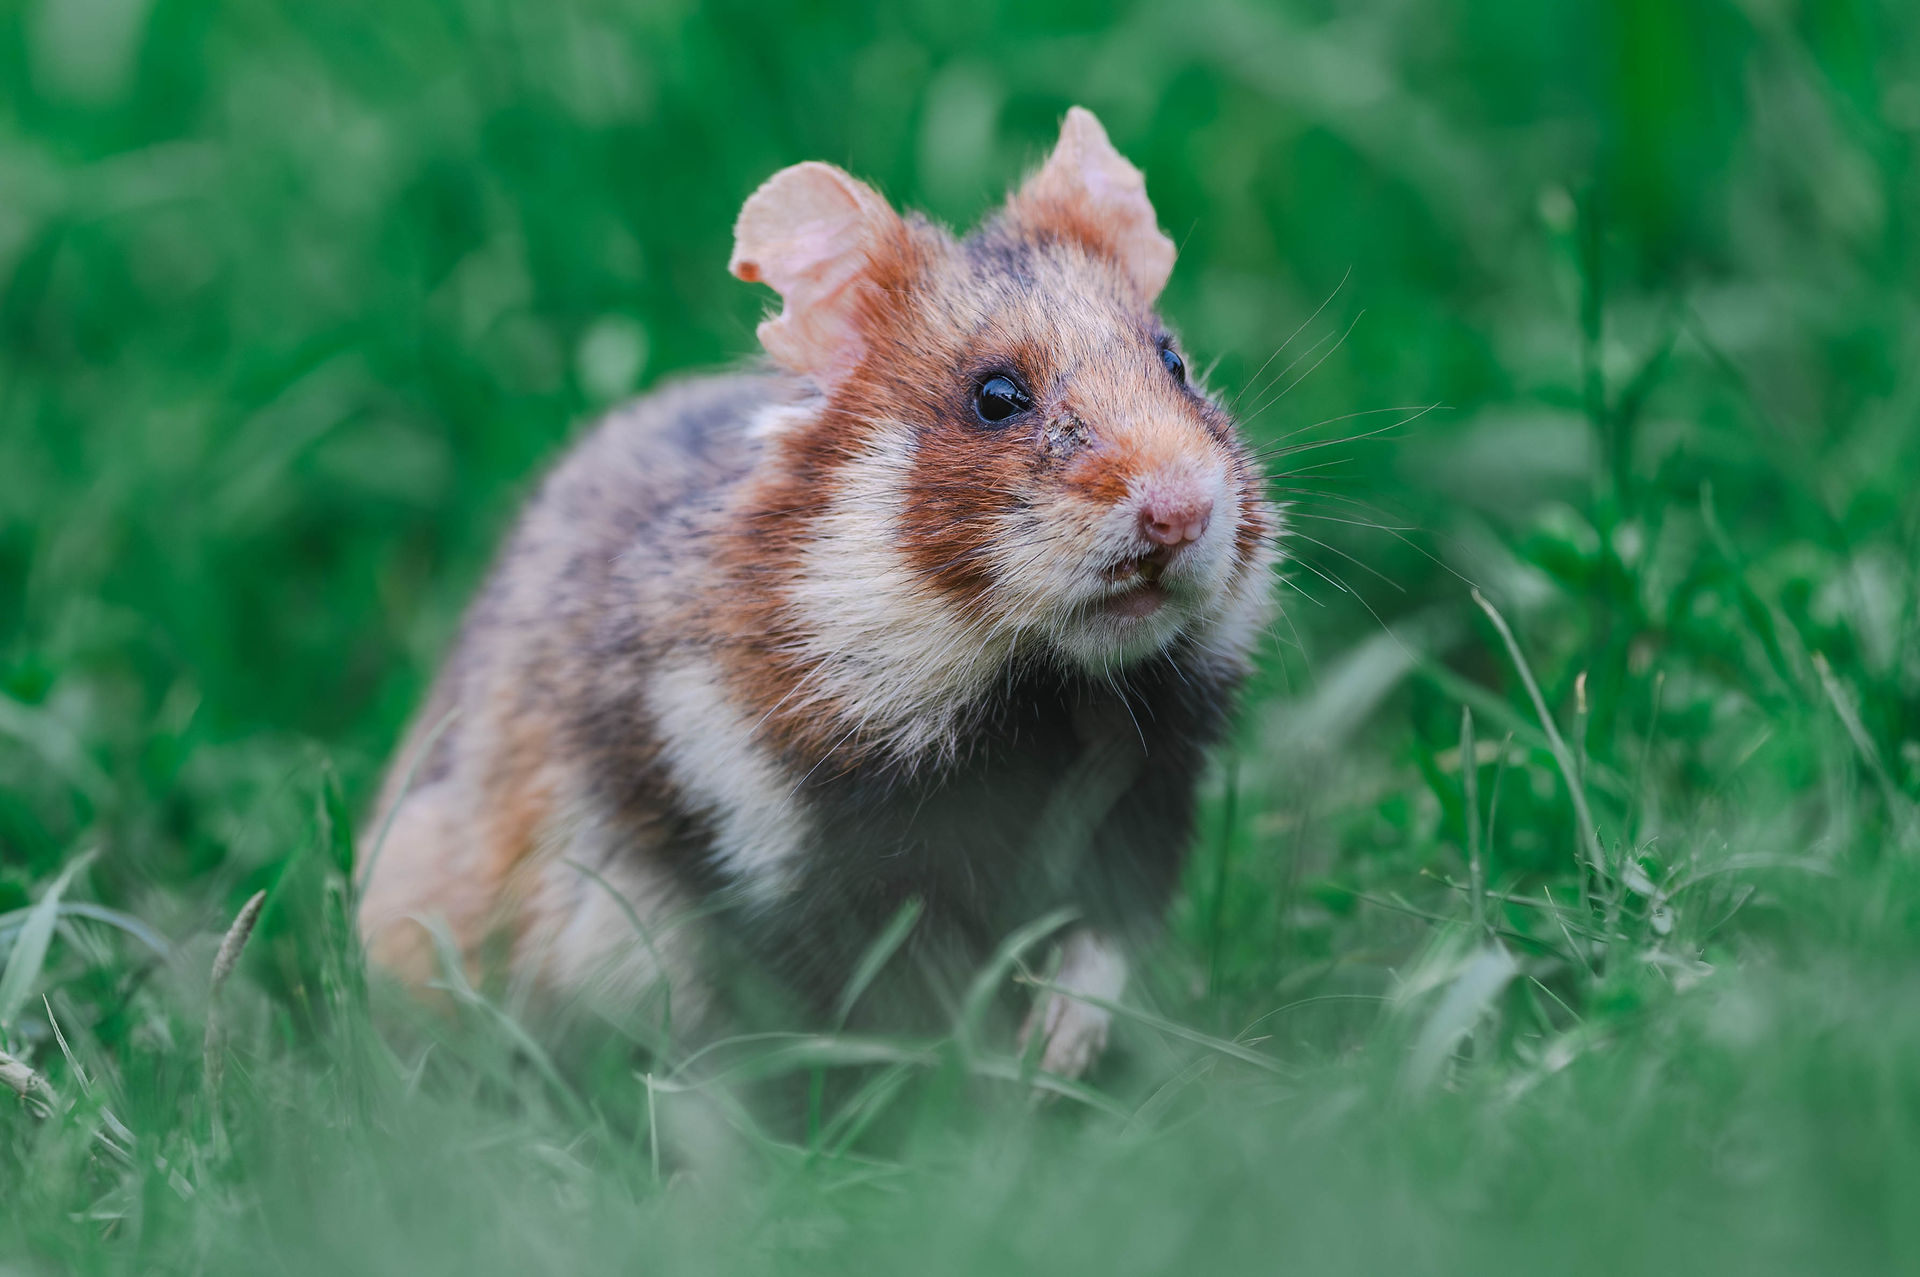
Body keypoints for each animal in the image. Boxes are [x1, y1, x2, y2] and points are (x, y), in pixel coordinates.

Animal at [358, 107, 1279, 1079]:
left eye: (1175, 363)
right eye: (996, 397)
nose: (1181, 511)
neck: (1033, 688)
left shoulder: (1146, 804)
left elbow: (1097, 944)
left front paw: (1055, 1051)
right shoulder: (802, 861)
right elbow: (909, 1002)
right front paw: (989, 1078)